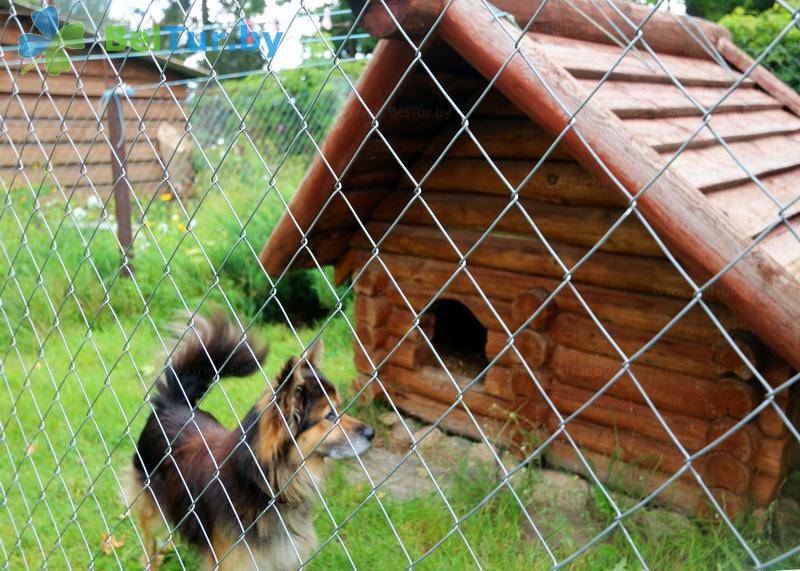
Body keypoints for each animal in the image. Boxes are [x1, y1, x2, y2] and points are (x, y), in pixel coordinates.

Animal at [126, 316, 376, 568]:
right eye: (330, 416)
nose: (371, 433)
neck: (265, 484)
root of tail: (174, 403)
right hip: (151, 505)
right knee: (148, 537)